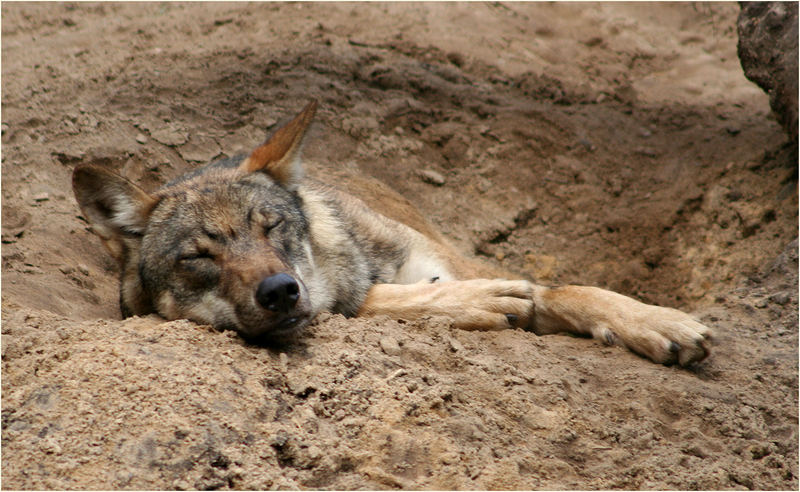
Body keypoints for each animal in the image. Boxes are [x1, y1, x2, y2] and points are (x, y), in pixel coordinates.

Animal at [73, 101, 712, 366]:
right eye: (198, 257)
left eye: (271, 226)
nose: (280, 292)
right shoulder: (371, 296)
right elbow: (384, 302)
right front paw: (471, 304)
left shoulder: (466, 262)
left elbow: (569, 291)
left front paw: (657, 322)